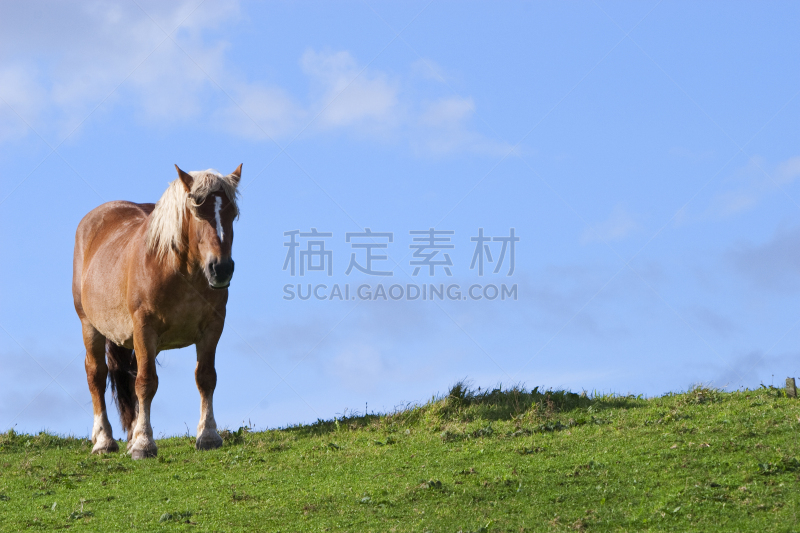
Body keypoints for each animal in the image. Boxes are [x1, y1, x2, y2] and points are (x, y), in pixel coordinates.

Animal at [72, 163, 241, 458]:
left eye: (233, 213)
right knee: (96, 375)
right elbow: (146, 382)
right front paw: (144, 444)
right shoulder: (144, 328)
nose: (221, 268)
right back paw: (104, 440)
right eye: (198, 211)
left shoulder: (212, 327)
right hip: (90, 326)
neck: (179, 271)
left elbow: (206, 378)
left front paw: (208, 435)